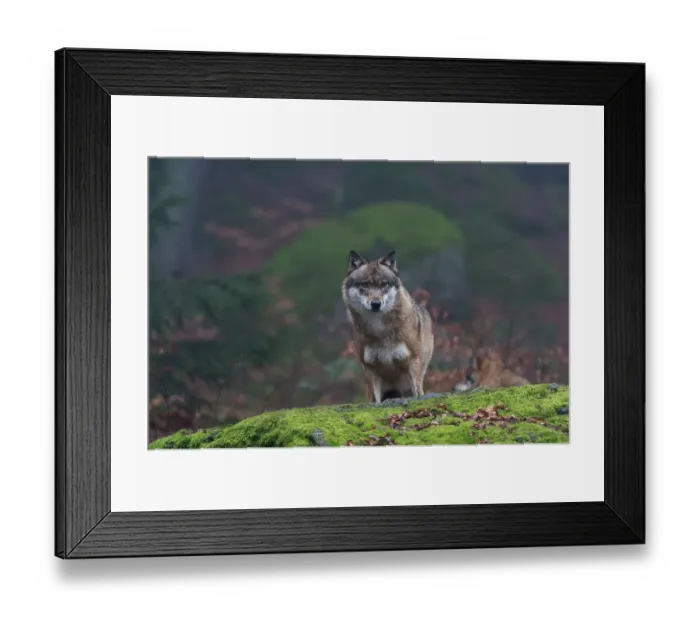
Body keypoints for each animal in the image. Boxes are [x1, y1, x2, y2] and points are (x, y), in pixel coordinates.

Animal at [342, 250, 434, 403]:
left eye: (383, 284)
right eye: (365, 284)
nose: (375, 304)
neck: (379, 329)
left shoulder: (412, 362)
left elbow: (417, 394)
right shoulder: (370, 369)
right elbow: (376, 401)